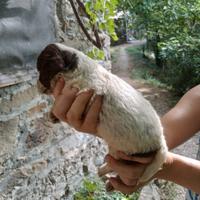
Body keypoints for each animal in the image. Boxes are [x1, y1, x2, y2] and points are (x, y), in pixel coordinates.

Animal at [36, 43, 168, 184]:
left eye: (41, 68)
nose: (37, 87)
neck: (77, 70)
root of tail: (161, 141)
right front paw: (52, 114)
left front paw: (53, 112)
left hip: (125, 154)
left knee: (116, 165)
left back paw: (104, 173)